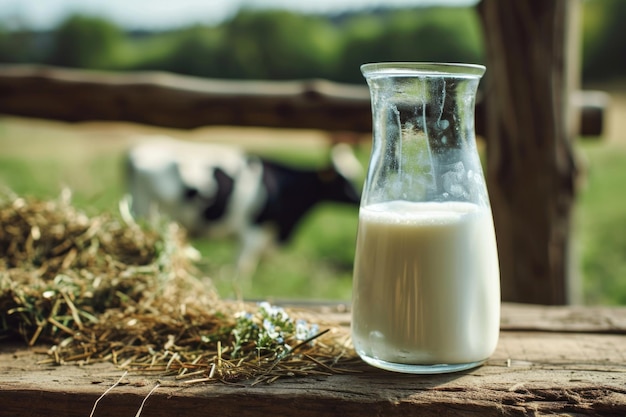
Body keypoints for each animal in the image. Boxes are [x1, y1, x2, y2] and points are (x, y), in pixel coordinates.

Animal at [125, 136, 360, 276]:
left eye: (354, 173)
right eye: (343, 181)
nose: (358, 199)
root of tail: (136, 152)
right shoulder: (251, 233)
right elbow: (242, 270)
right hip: (146, 211)